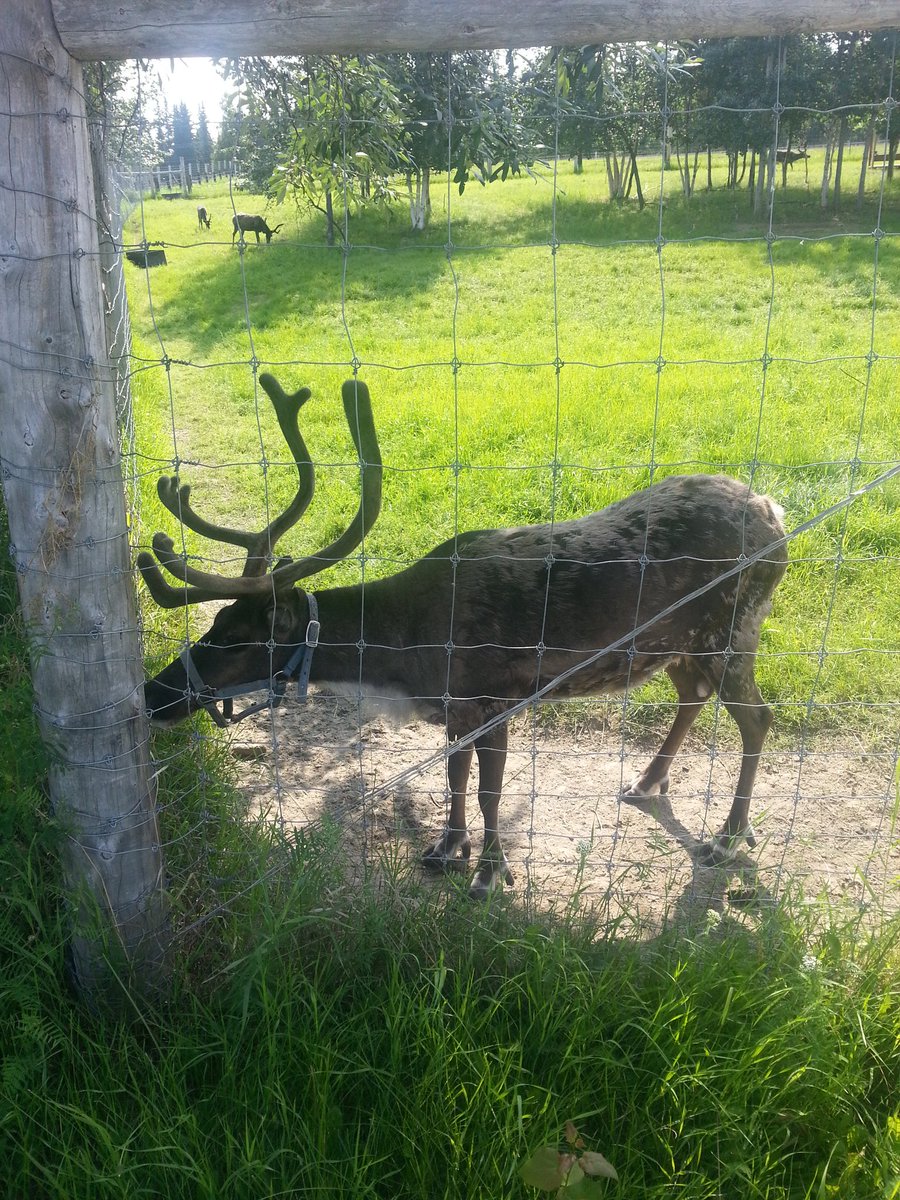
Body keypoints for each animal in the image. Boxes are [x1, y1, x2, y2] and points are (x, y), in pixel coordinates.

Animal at [139, 376, 788, 899]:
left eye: (237, 636)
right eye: (215, 623)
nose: (153, 694)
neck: (405, 659)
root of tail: (774, 512)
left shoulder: (493, 697)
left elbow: (488, 792)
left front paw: (489, 873)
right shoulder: (455, 708)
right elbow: (453, 778)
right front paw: (447, 849)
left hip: (735, 625)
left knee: (758, 716)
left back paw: (727, 837)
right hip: (680, 641)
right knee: (692, 696)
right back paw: (649, 782)